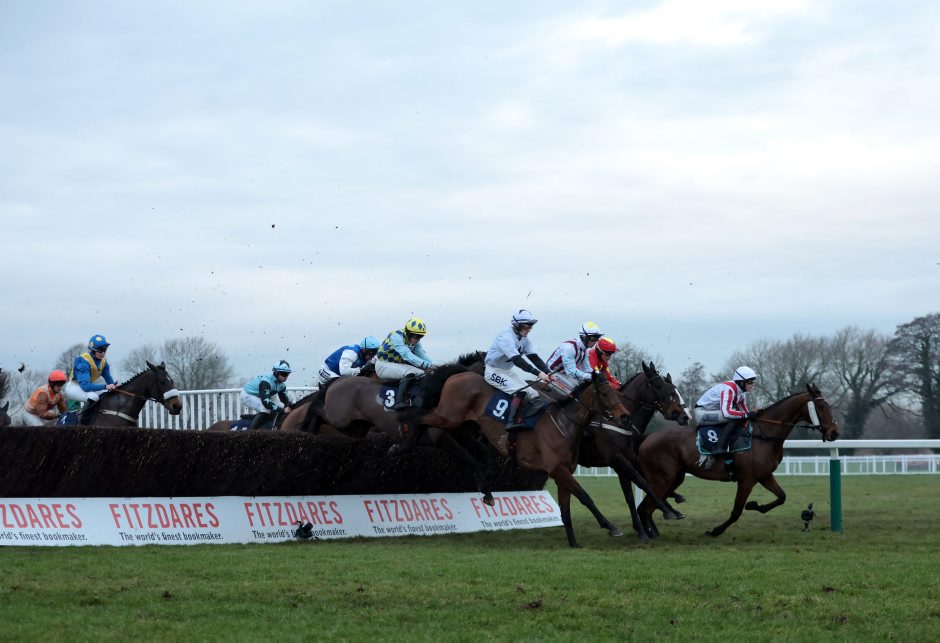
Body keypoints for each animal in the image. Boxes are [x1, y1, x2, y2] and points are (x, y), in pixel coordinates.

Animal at [410, 370, 632, 548]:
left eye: (617, 393)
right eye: (604, 393)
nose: (625, 416)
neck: (564, 425)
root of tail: (455, 376)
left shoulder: (563, 472)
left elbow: (566, 510)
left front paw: (573, 543)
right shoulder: (557, 470)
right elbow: (585, 497)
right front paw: (610, 526)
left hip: (464, 425)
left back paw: (487, 490)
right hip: (450, 417)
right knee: (423, 420)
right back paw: (408, 437)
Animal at [576, 361, 690, 540]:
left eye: (674, 390)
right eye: (659, 386)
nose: (682, 415)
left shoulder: (628, 459)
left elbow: (636, 489)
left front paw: (648, 525)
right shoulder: (617, 460)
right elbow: (639, 484)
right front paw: (653, 521)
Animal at [637, 383, 839, 538]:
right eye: (821, 407)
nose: (834, 433)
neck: (763, 435)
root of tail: (646, 439)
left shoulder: (764, 475)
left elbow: (781, 497)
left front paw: (754, 505)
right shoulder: (747, 479)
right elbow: (736, 512)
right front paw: (715, 531)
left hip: (674, 479)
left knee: (648, 507)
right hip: (662, 480)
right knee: (644, 508)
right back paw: (648, 535)